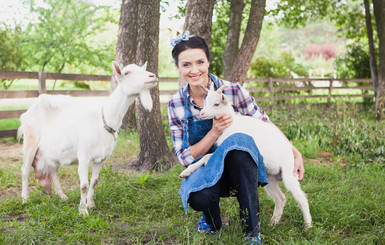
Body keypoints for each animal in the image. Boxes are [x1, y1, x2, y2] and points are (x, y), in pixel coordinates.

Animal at [18, 62, 157, 215]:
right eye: (127, 73)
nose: (153, 76)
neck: (104, 119)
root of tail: (28, 112)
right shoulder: (84, 156)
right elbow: (84, 185)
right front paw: (83, 211)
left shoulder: (101, 159)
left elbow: (94, 182)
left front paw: (91, 204)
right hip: (31, 141)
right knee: (25, 170)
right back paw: (25, 199)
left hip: (52, 150)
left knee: (53, 171)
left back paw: (62, 196)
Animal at [180, 83, 312, 231]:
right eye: (205, 101)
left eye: (216, 104)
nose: (202, 113)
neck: (231, 124)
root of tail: (290, 152)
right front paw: (187, 172)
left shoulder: (227, 146)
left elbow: (207, 157)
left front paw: (187, 171)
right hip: (269, 177)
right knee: (281, 198)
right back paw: (274, 222)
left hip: (289, 173)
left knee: (301, 197)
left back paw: (307, 226)